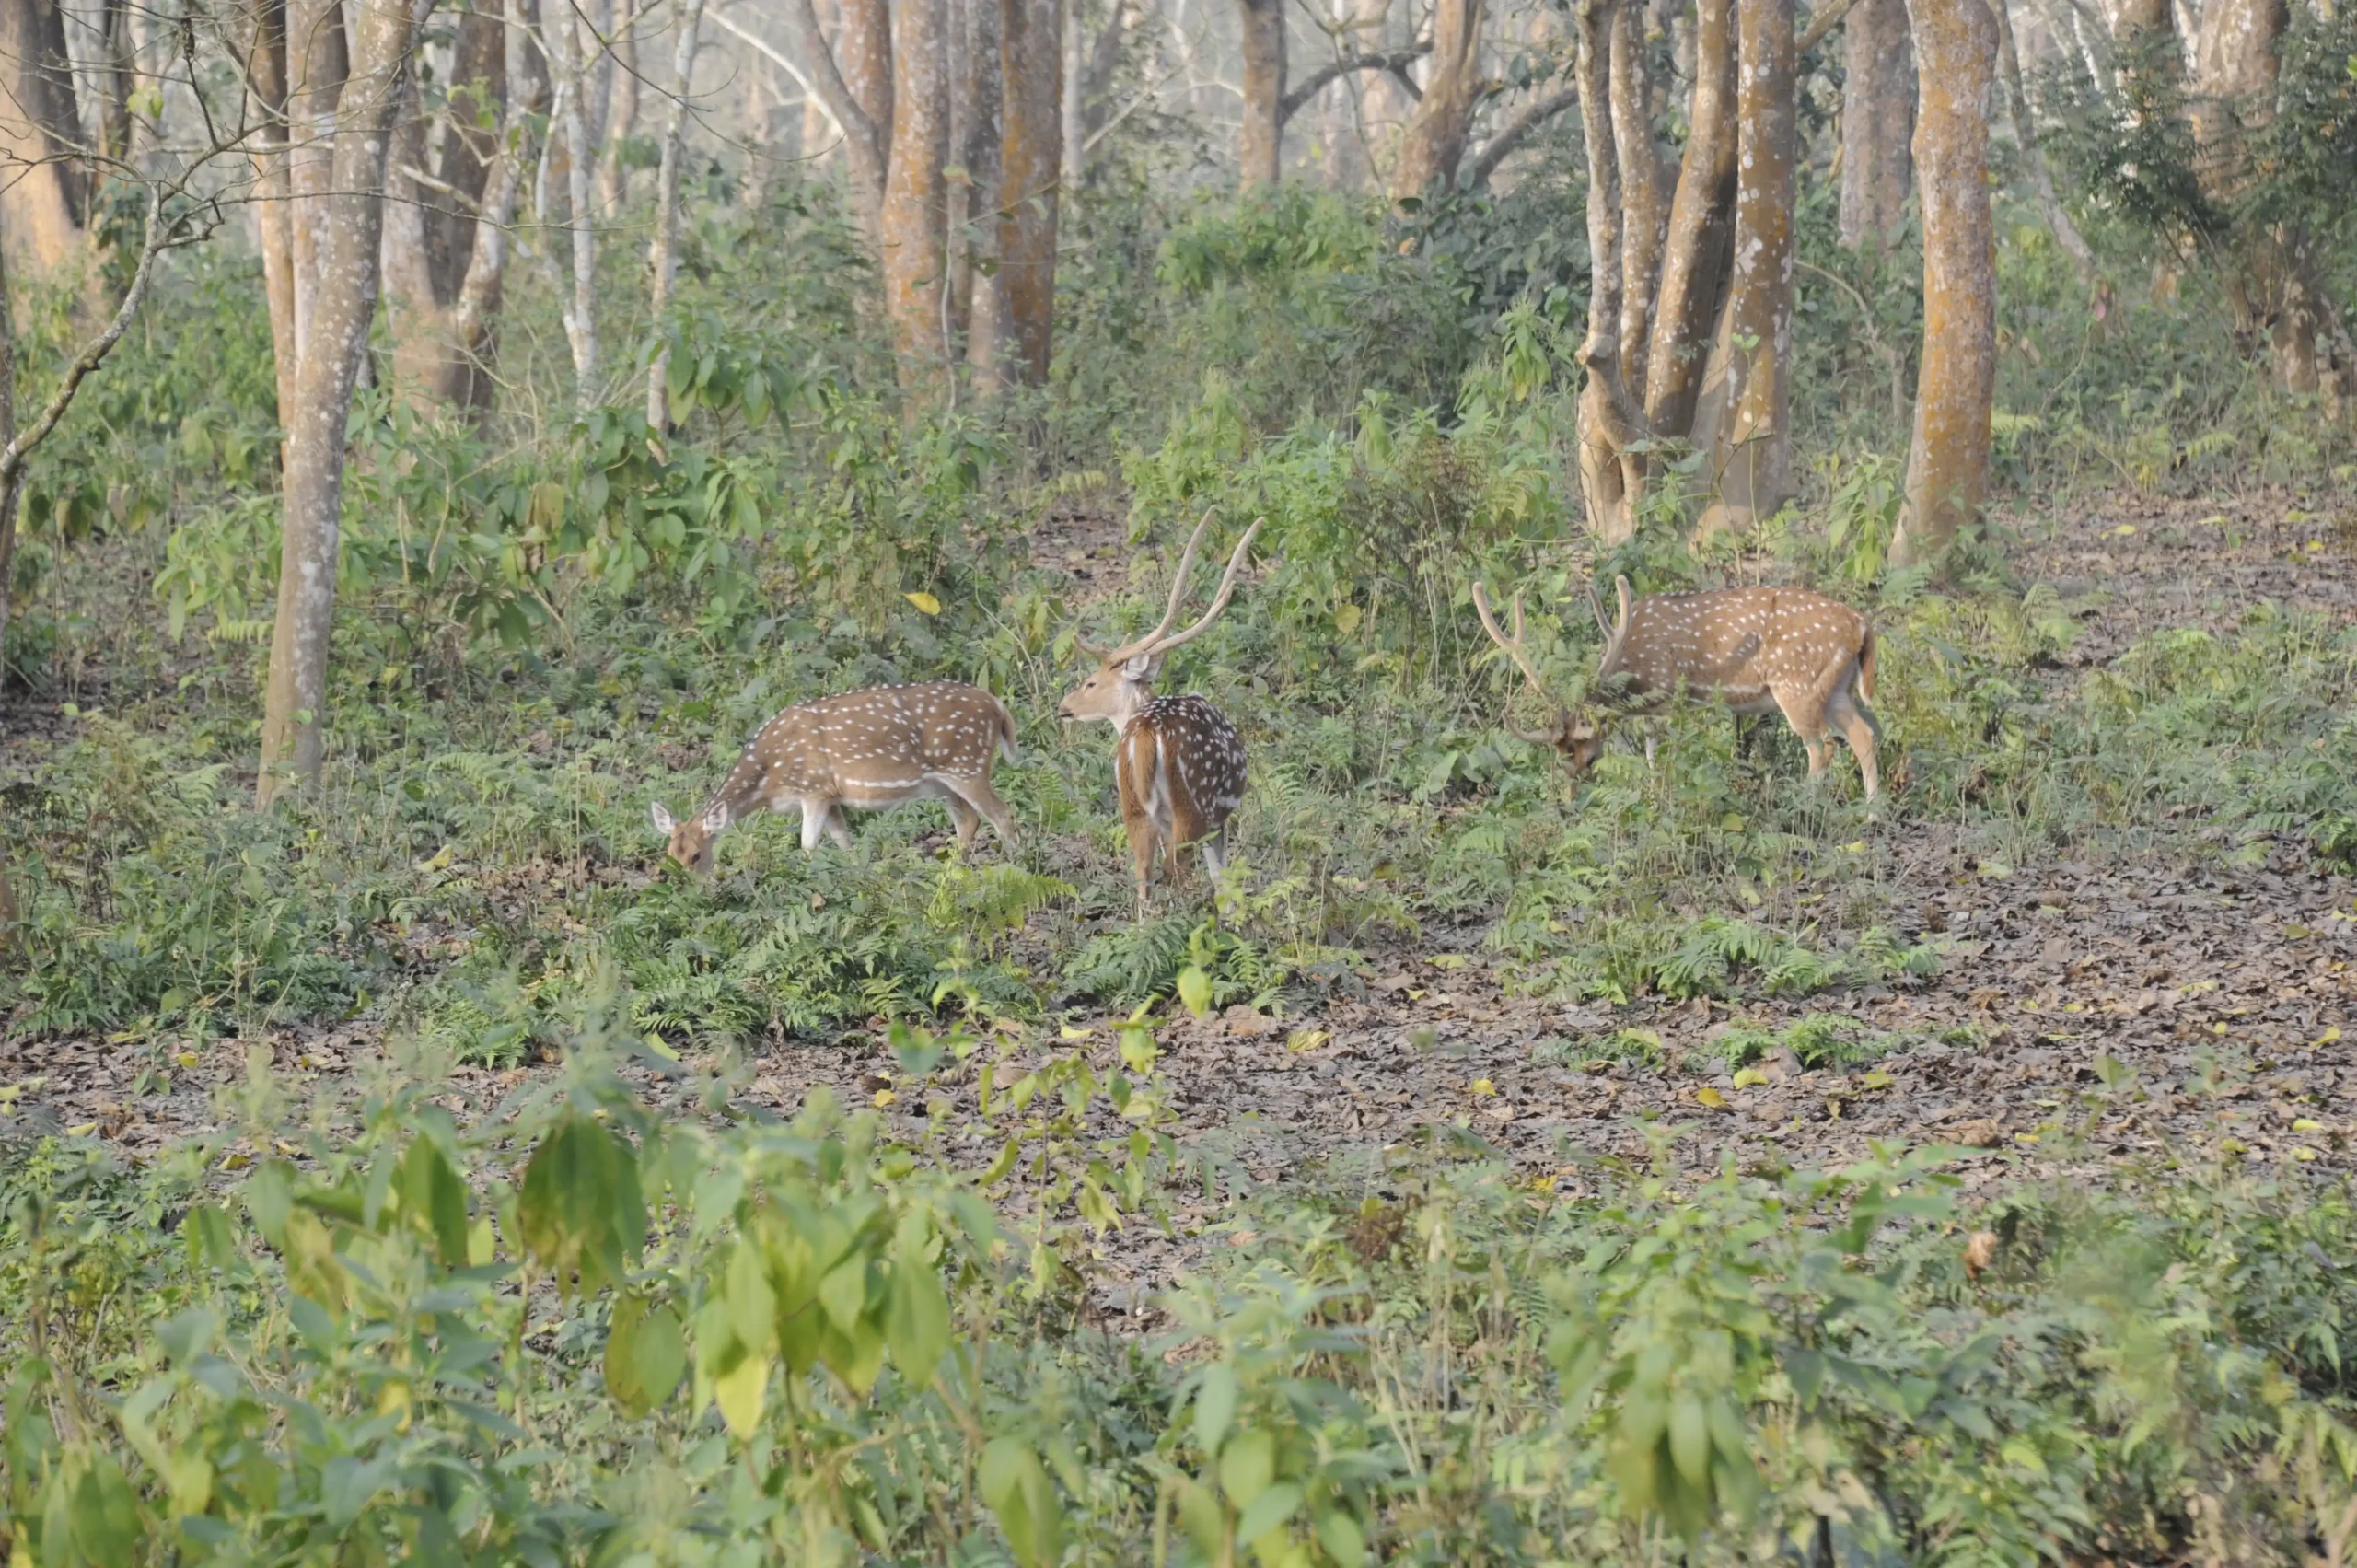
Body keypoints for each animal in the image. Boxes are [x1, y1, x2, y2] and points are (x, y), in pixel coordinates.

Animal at [649, 681, 1019, 873]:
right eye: (668, 855)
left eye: (696, 855)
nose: (687, 894)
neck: (769, 781)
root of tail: (998, 706)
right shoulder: (830, 796)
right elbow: (843, 841)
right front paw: (856, 875)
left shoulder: (814, 788)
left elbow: (807, 844)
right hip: (943, 780)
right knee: (969, 820)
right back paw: (949, 870)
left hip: (967, 764)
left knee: (1002, 813)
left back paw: (1016, 865)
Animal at [1057, 511, 1263, 916]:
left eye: (1090, 683)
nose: (1063, 708)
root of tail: (1145, 732)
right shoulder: (1219, 817)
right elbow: (1222, 880)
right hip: (1193, 805)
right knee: (1176, 873)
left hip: (1134, 807)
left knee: (1145, 879)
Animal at [1472, 574, 1881, 798]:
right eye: (1561, 762)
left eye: (1589, 757)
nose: (1573, 801)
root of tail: (1862, 625)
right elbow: (1652, 751)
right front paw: (1653, 796)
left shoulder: (1668, 694)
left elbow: (1663, 753)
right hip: (1837, 689)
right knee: (1863, 735)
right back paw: (1872, 811)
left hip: (1797, 684)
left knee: (1823, 746)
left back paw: (1802, 803)